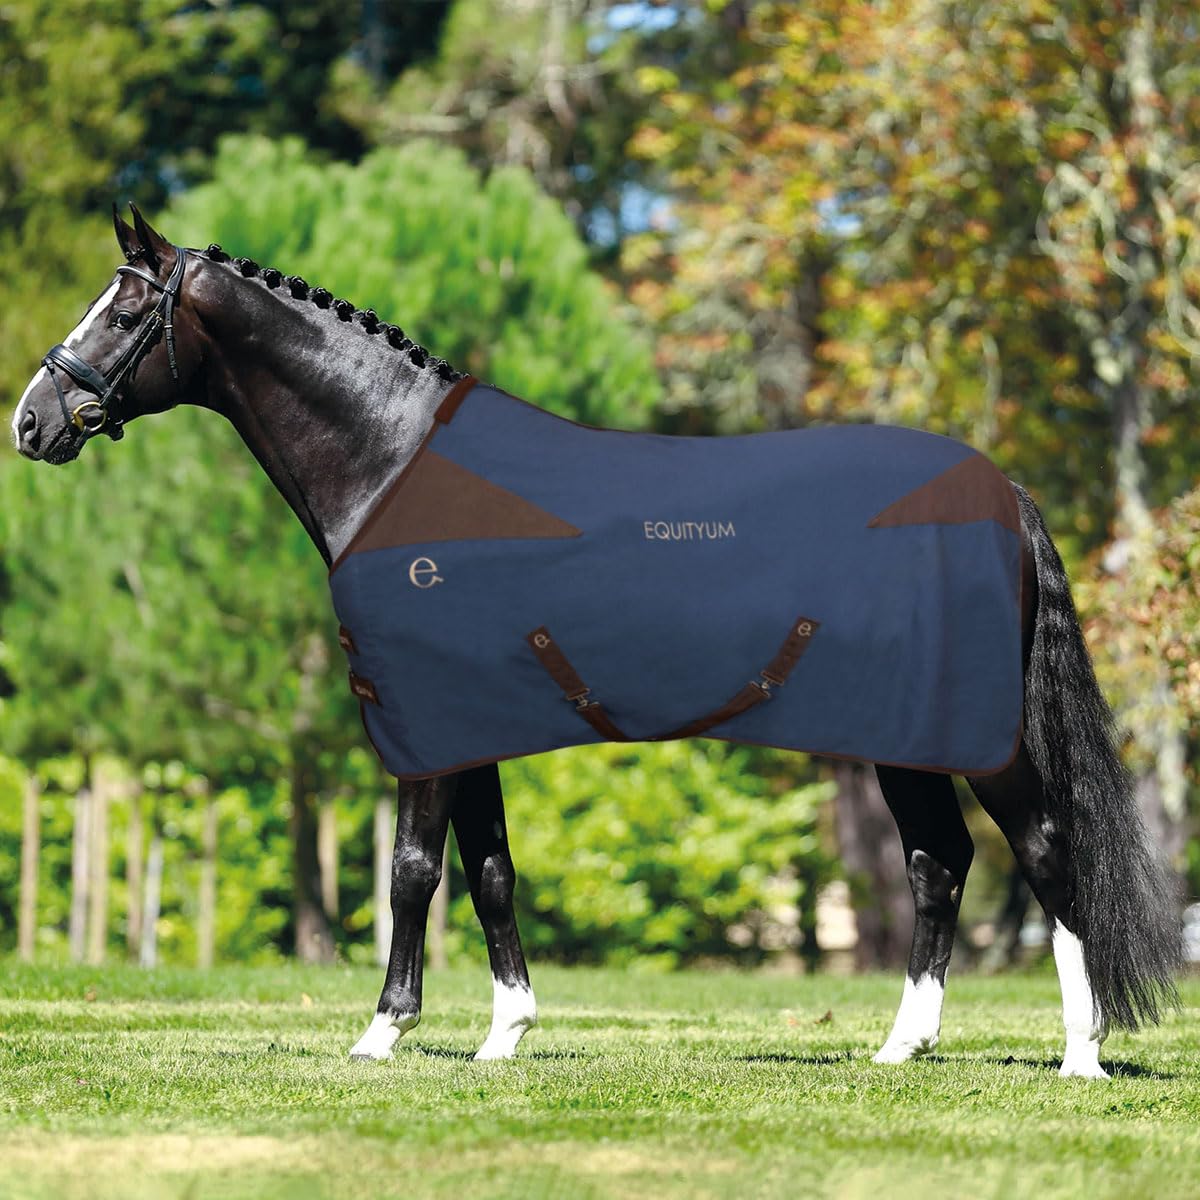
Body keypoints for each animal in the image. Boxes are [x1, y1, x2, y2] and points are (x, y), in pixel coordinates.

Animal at [12, 206, 1179, 1077]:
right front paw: (504, 1035)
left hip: (989, 738)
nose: (31, 420)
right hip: (901, 735)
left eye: (126, 306)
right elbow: (488, 870)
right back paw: (903, 1048)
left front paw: (383, 1032)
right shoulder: (468, 725)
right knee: (941, 864)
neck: (402, 471)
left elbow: (412, 872)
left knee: (1045, 851)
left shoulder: (423, 730)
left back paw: (1081, 1056)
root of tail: (1001, 491)